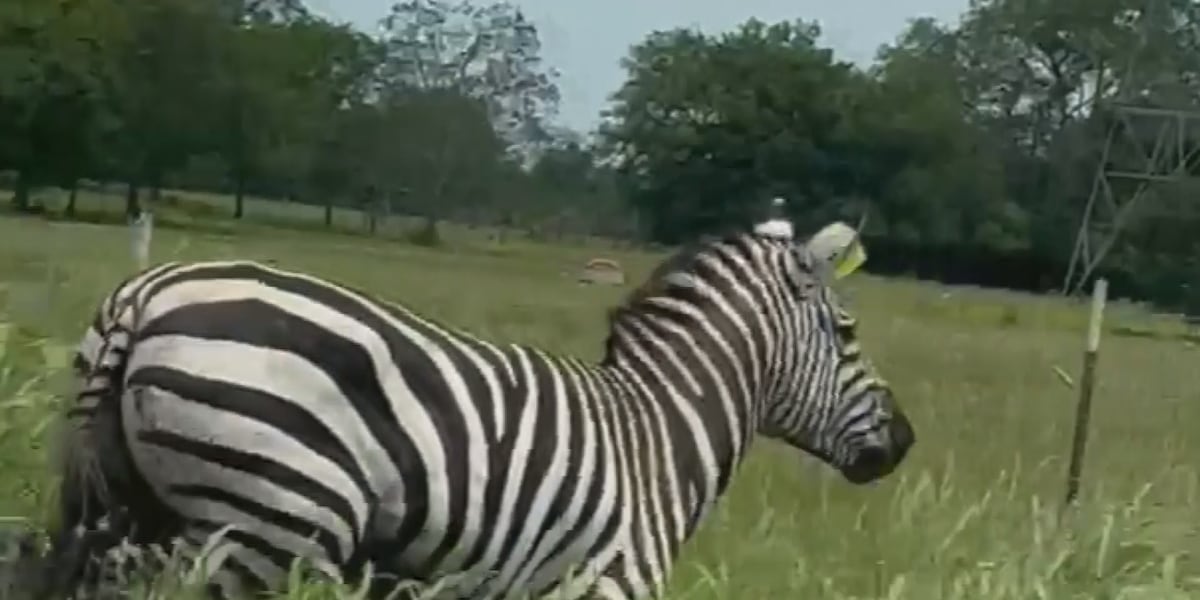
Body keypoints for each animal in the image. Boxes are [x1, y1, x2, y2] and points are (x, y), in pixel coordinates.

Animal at [41, 219, 915, 599]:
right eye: (847, 331)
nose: (904, 442)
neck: (660, 432)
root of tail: (147, 292)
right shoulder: (605, 585)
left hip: (134, 509)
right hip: (269, 522)